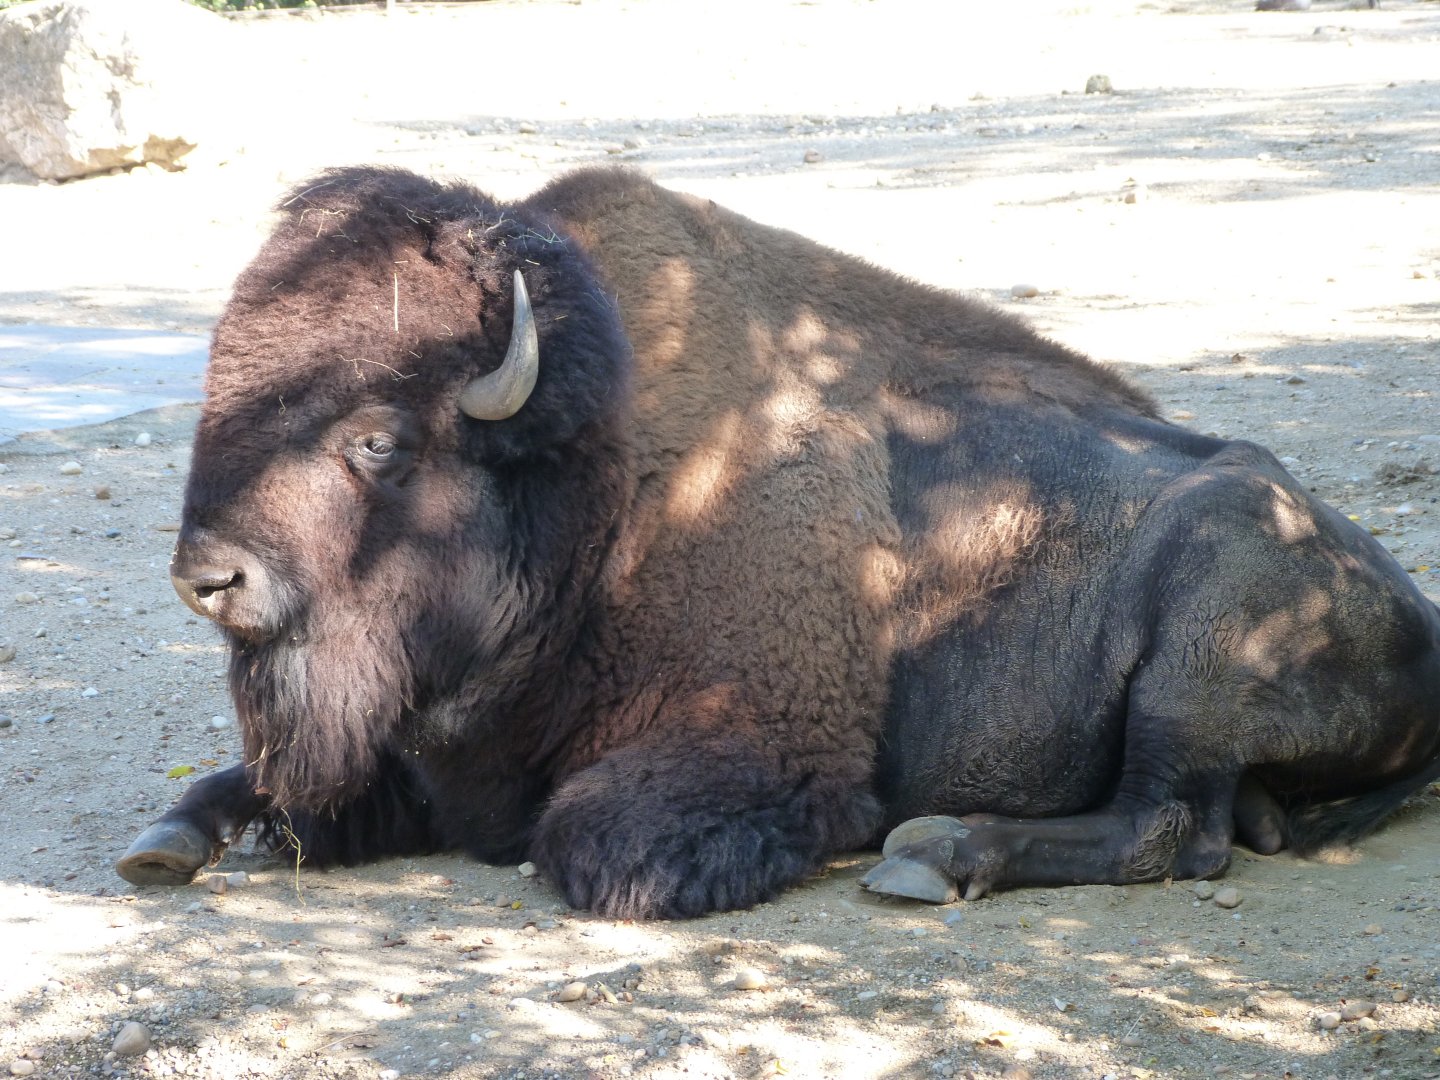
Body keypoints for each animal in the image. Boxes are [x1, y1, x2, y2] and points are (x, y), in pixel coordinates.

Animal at [117, 166, 1440, 918]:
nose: (210, 577)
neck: (602, 494)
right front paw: (163, 841)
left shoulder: (752, 752)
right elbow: (263, 790)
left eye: (378, 438)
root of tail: (1417, 613)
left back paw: (934, 853)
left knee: (1172, 825)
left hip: (1202, 636)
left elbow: (582, 841)